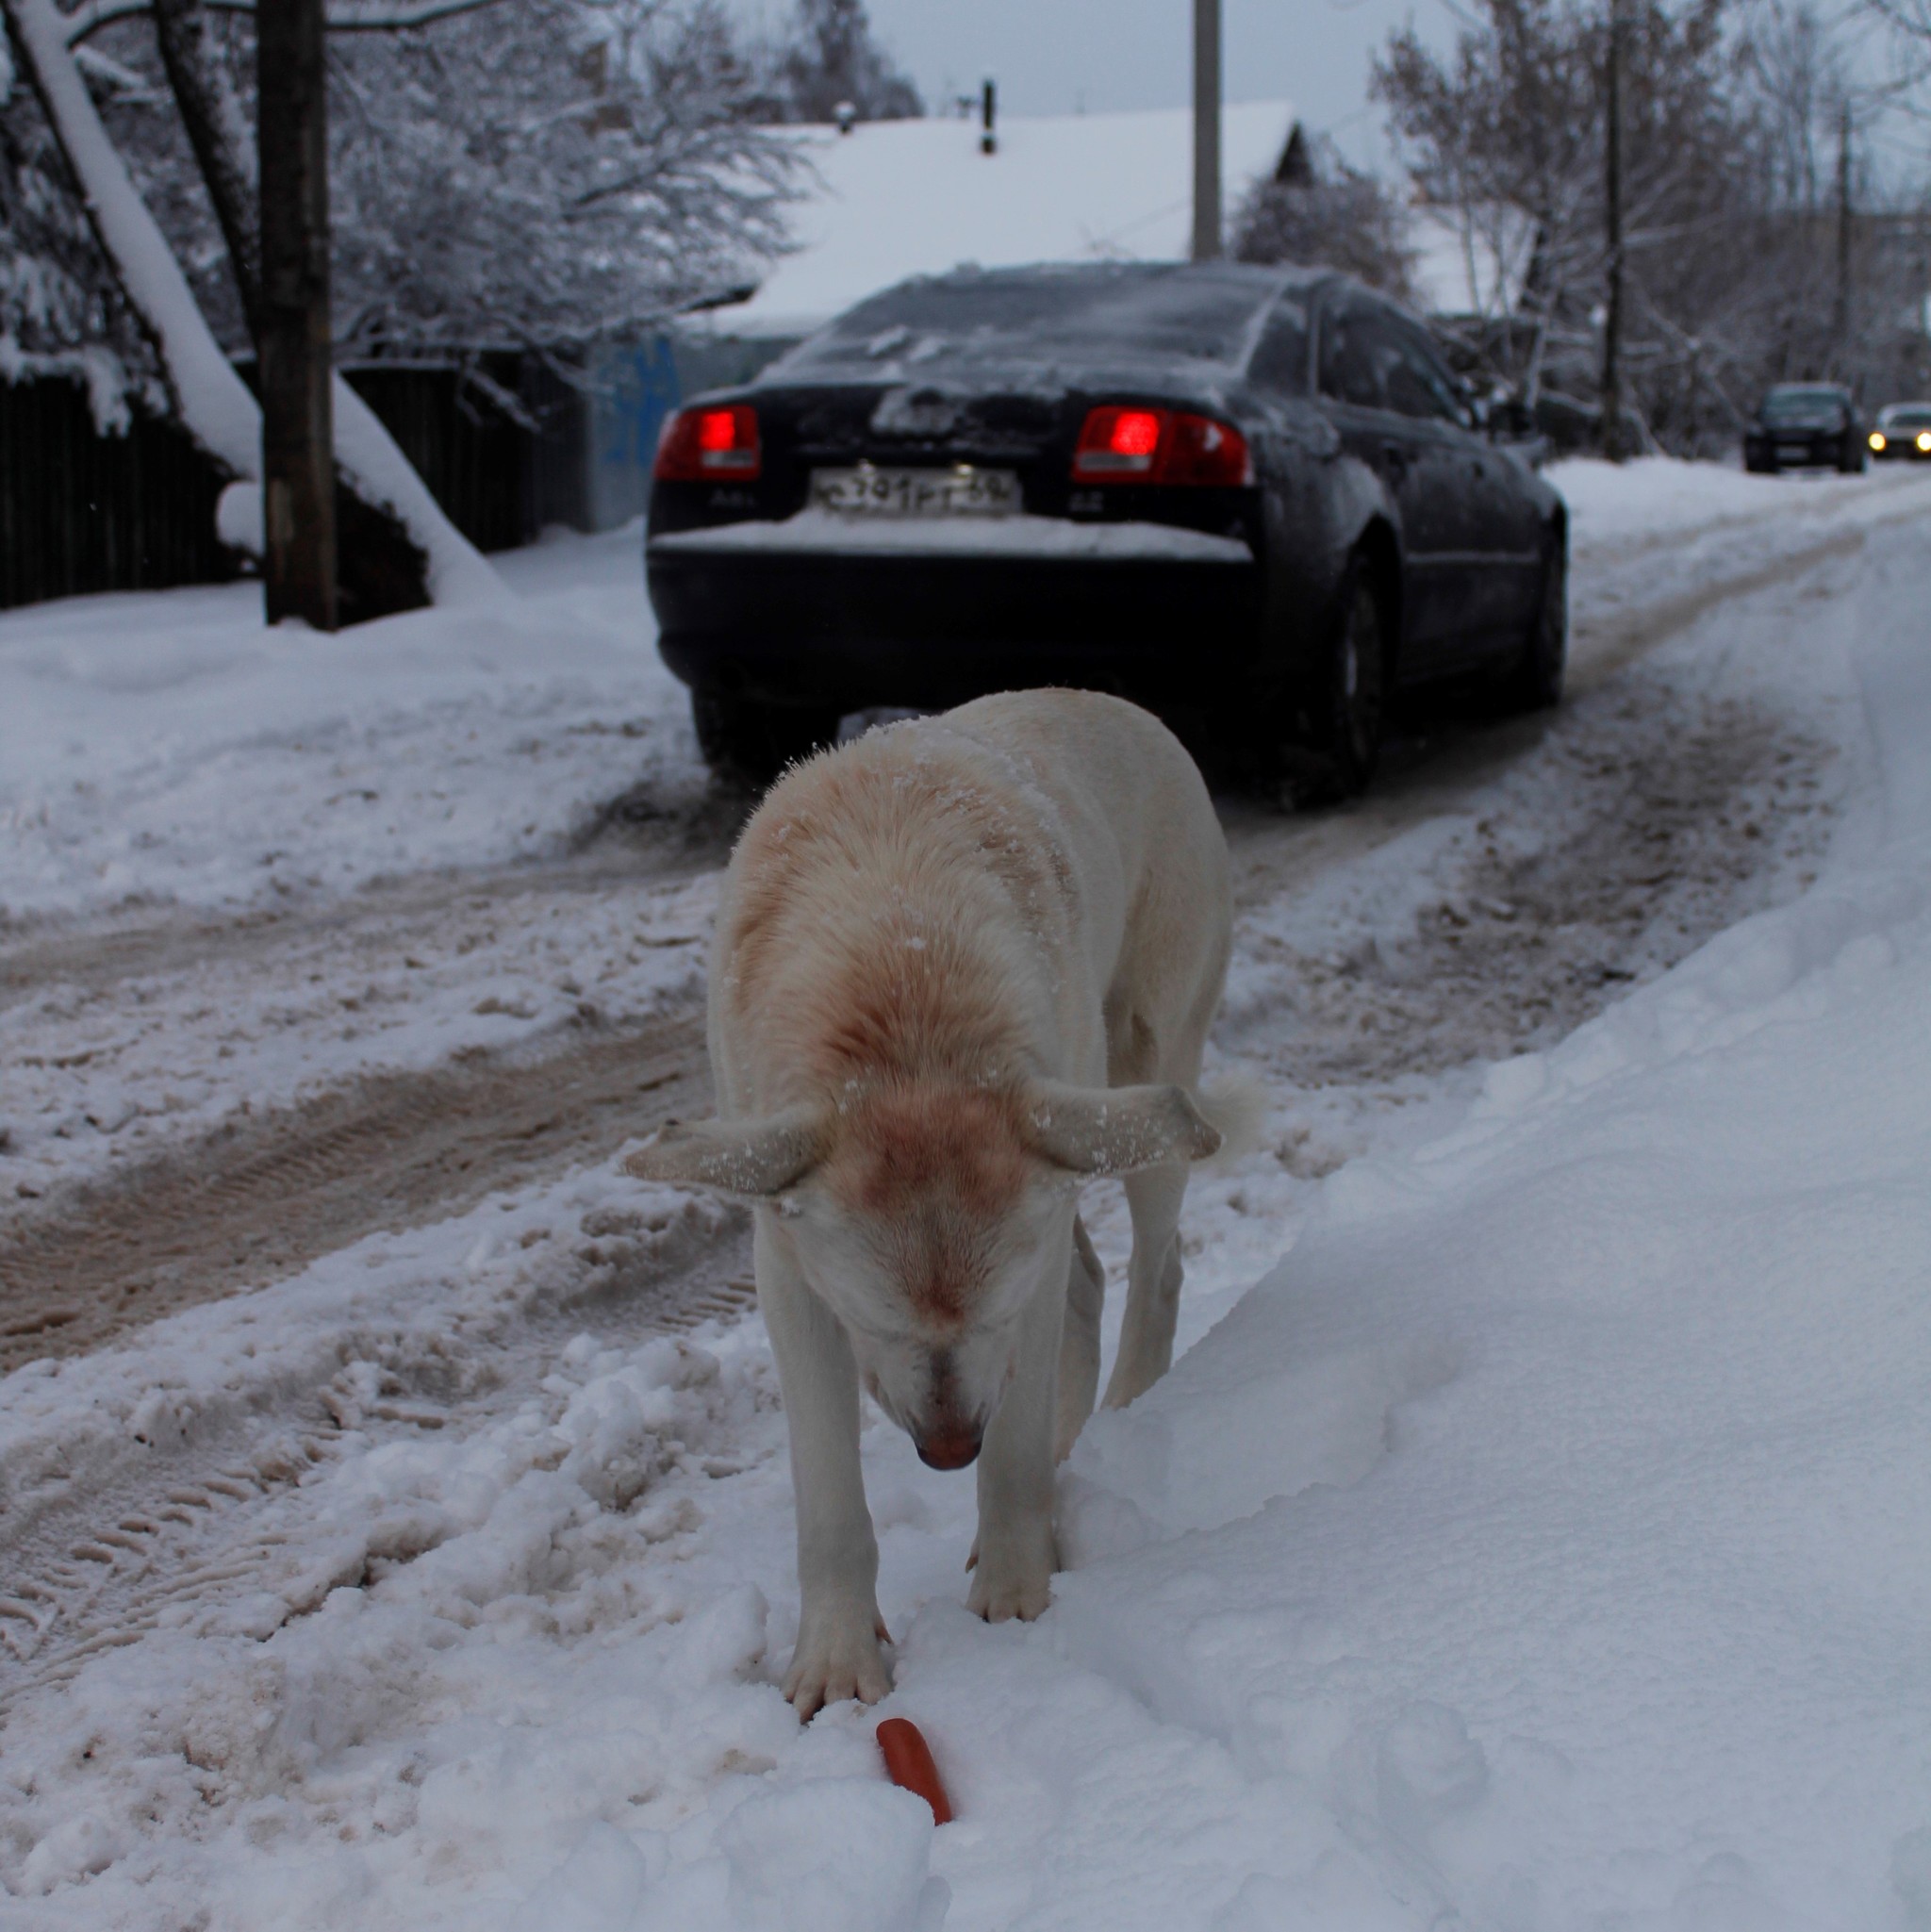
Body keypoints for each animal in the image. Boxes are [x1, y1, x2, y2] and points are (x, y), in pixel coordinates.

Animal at [625, 687, 1228, 1715]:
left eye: (986, 1315)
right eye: (875, 1320)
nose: (948, 1451)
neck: (903, 1002)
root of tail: (1125, 706)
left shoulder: (1019, 1291)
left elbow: (1013, 1456)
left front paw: (1018, 1599)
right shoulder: (791, 1277)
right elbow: (830, 1501)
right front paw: (835, 1664)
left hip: (1143, 1082)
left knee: (1155, 1270)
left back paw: (1122, 1415)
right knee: (1091, 1282)